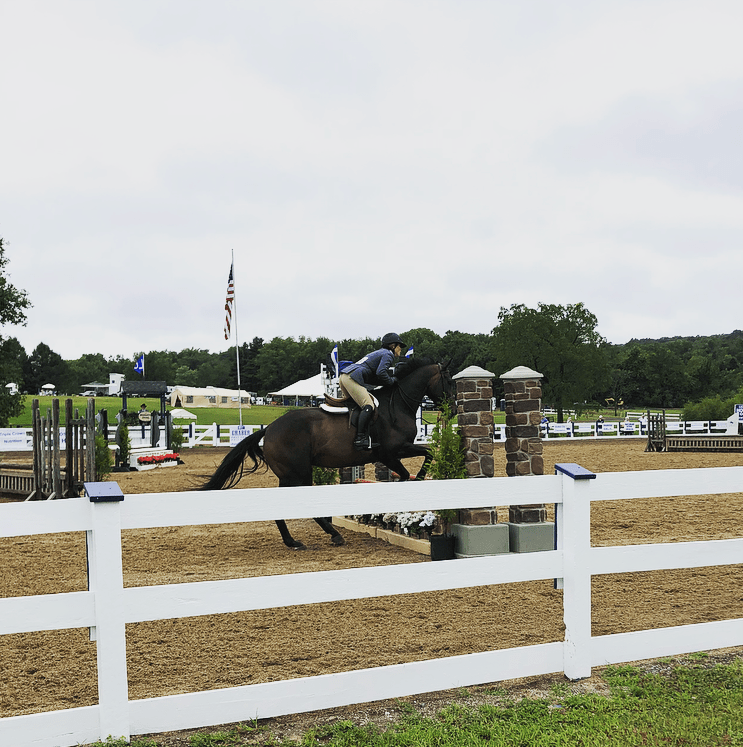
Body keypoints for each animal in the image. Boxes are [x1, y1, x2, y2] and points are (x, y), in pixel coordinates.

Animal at [200, 359, 454, 549]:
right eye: (448, 381)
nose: (451, 409)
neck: (398, 404)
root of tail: (269, 429)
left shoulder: (397, 453)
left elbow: (424, 456)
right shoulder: (390, 454)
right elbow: (416, 464)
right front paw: (417, 481)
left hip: (291, 475)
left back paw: (294, 540)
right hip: (298, 474)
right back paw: (326, 535)